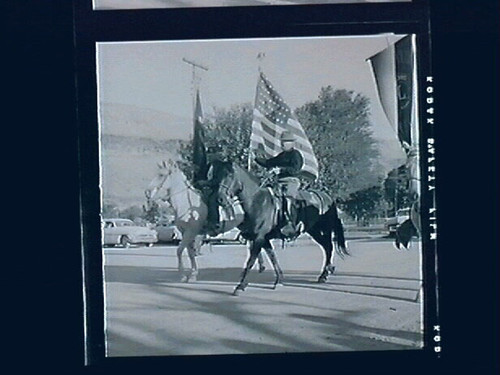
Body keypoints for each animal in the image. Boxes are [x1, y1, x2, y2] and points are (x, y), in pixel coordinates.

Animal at [209, 162, 350, 296]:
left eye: (230, 175)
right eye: (217, 175)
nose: (219, 198)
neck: (257, 202)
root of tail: (328, 198)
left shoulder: (259, 238)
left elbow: (251, 261)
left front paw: (240, 286)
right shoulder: (263, 239)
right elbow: (272, 257)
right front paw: (279, 280)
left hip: (325, 229)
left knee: (329, 247)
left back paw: (324, 274)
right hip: (314, 231)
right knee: (327, 246)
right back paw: (326, 272)